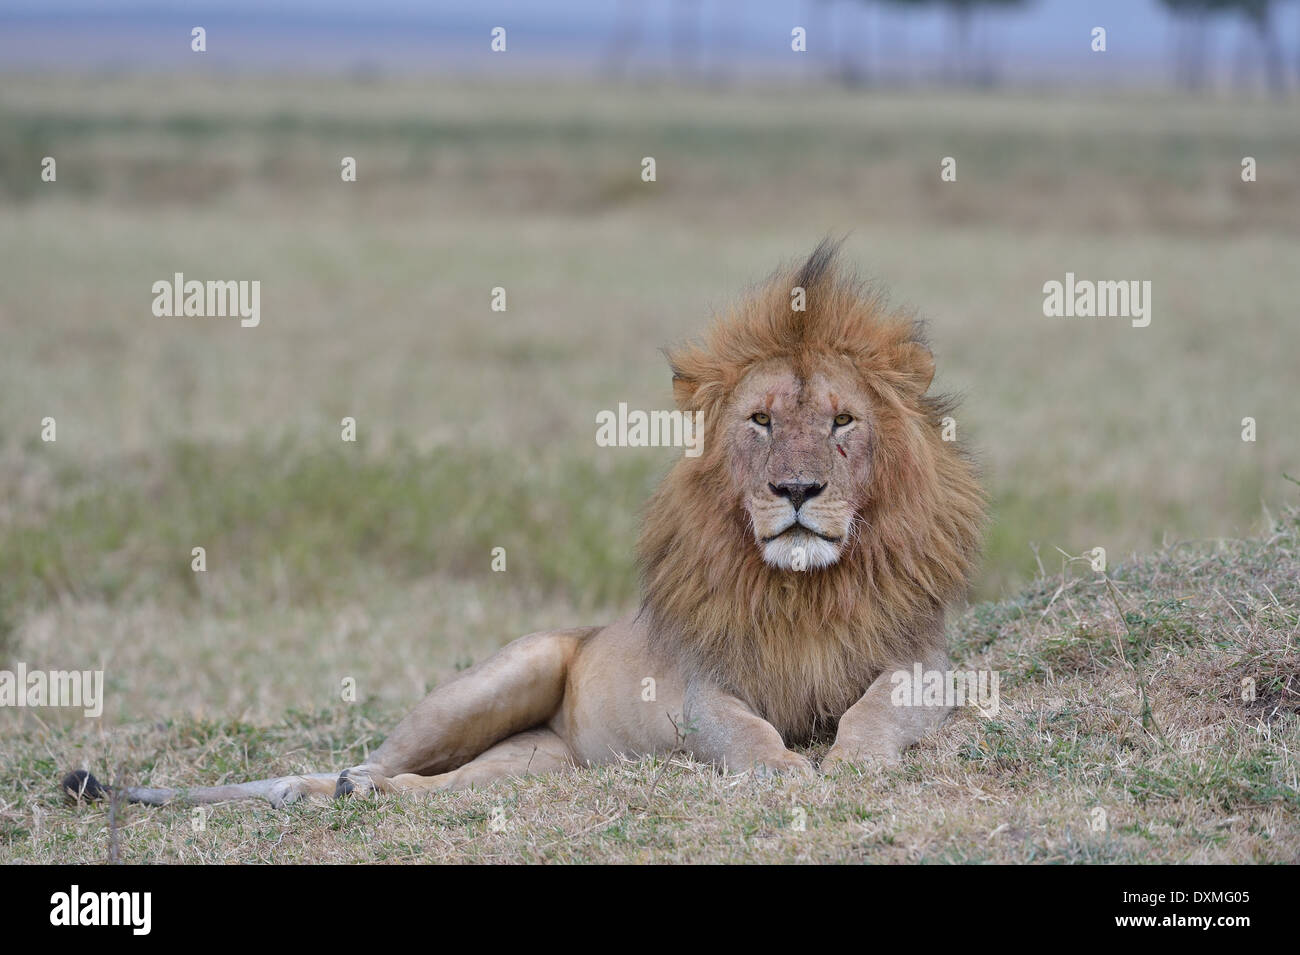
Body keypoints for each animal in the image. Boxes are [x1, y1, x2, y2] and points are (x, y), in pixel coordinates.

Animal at [63, 242, 982, 810]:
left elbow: (874, 708)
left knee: (443, 786)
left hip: (529, 762)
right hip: (502, 678)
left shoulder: (921, 661)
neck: (804, 589)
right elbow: (746, 729)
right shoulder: (700, 689)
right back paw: (338, 789)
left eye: (840, 420)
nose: (796, 488)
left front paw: (852, 763)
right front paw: (788, 771)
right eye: (759, 420)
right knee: (365, 760)